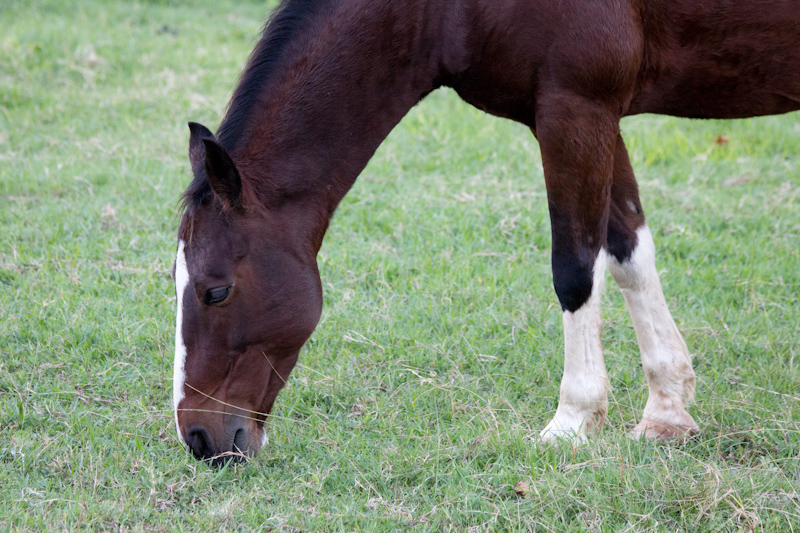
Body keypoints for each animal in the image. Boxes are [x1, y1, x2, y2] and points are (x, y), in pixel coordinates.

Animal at [173, 0, 800, 464]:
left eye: (216, 291)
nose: (199, 439)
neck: (445, 11)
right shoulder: (595, 116)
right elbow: (628, 254)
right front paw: (666, 411)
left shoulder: (575, 109)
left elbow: (575, 269)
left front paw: (572, 421)